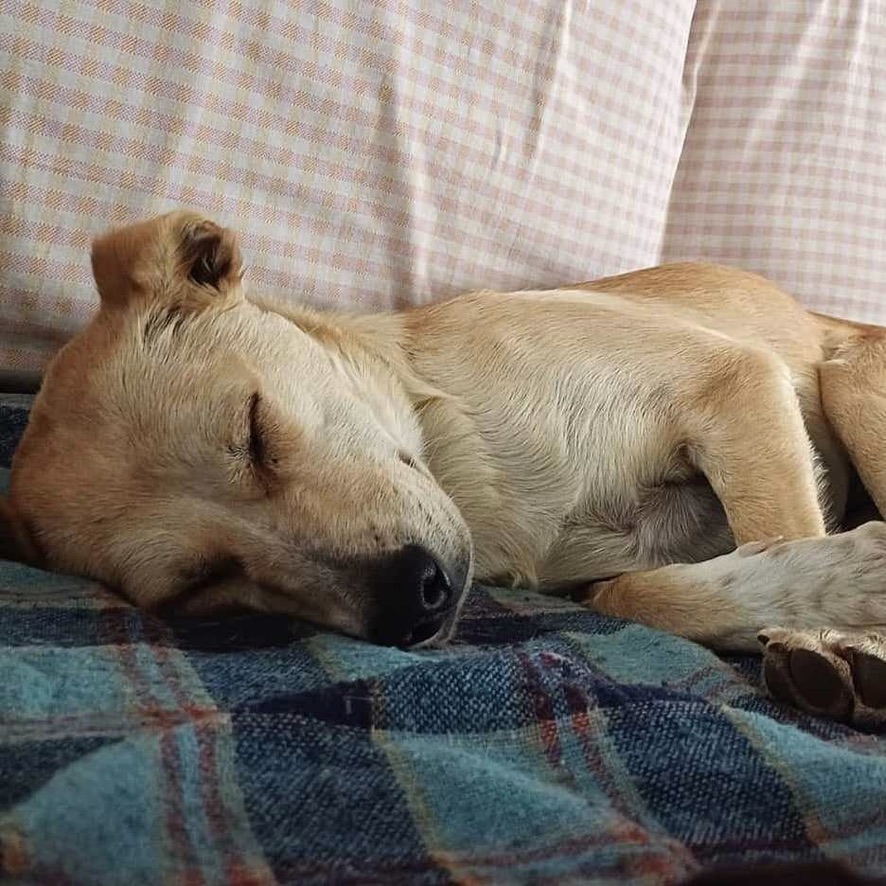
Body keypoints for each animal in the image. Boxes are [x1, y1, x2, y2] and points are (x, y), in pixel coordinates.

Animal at [1, 212, 886, 724]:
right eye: (199, 585)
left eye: (255, 431)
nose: (411, 602)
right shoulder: (599, 569)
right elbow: (638, 592)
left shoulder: (732, 382)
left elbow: (776, 531)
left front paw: (829, 622)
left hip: (848, 382)